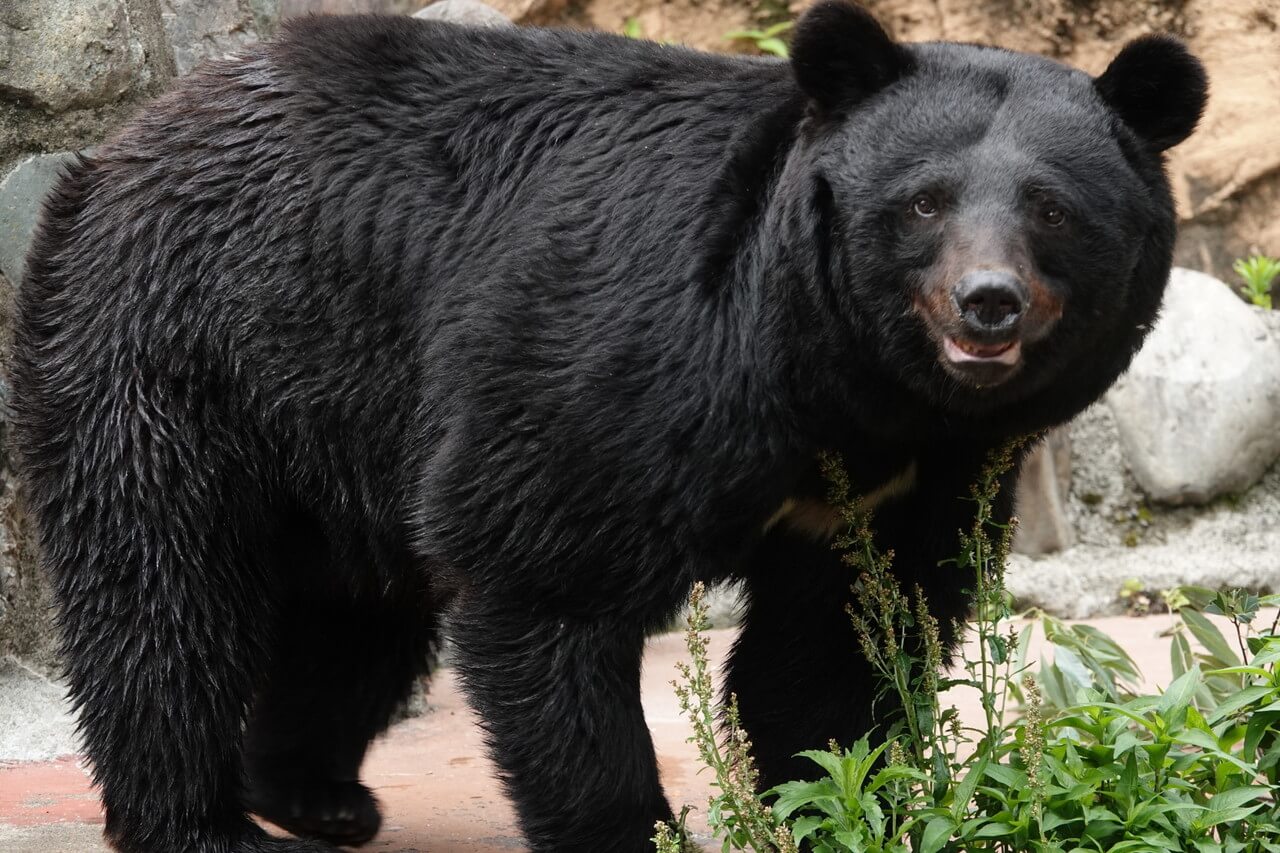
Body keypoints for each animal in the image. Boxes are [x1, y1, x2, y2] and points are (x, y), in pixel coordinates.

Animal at [15, 3, 1203, 845]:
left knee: (354, 616)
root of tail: (127, 141)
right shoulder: (625, 364)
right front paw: (633, 827)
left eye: (1052, 208)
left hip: (339, 415)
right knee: (164, 591)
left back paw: (315, 792)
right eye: (923, 202)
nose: (985, 304)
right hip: (182, 348)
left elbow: (841, 637)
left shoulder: (918, 476)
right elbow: (547, 580)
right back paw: (205, 822)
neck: (846, 385)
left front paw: (835, 801)